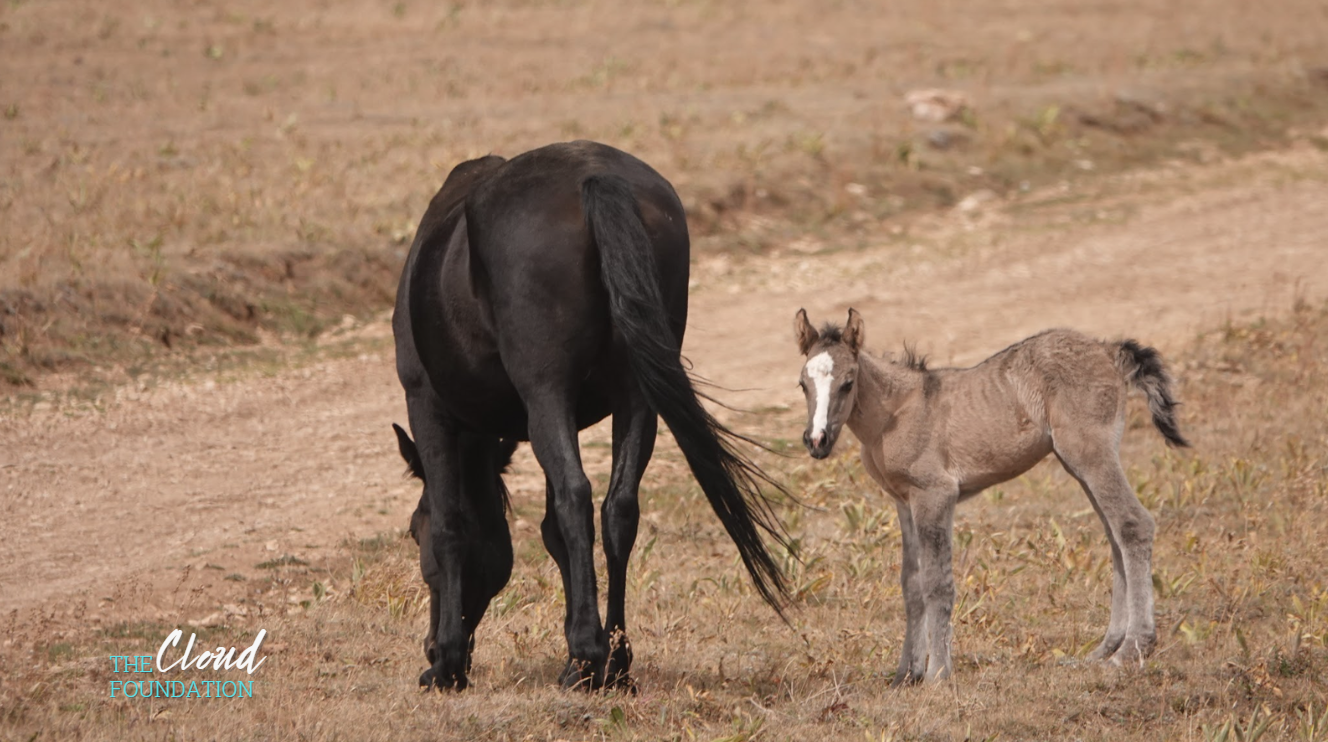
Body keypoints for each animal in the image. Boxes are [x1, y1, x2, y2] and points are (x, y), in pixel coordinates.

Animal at [391, 140, 790, 692]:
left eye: (414, 530)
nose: (430, 645)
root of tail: (596, 178)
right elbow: (550, 533)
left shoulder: (429, 406)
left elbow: (454, 524)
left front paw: (447, 665)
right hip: (636, 396)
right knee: (619, 509)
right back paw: (614, 662)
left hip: (546, 394)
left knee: (578, 498)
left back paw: (584, 658)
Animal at [792, 309, 1189, 684]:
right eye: (802, 384)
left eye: (848, 383)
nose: (817, 441)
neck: (896, 412)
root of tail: (1109, 350)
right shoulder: (904, 501)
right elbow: (911, 584)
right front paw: (906, 673)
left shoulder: (936, 494)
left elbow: (937, 583)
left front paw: (937, 673)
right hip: (1078, 462)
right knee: (1114, 536)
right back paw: (1103, 650)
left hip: (1090, 454)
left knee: (1133, 524)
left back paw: (1132, 650)